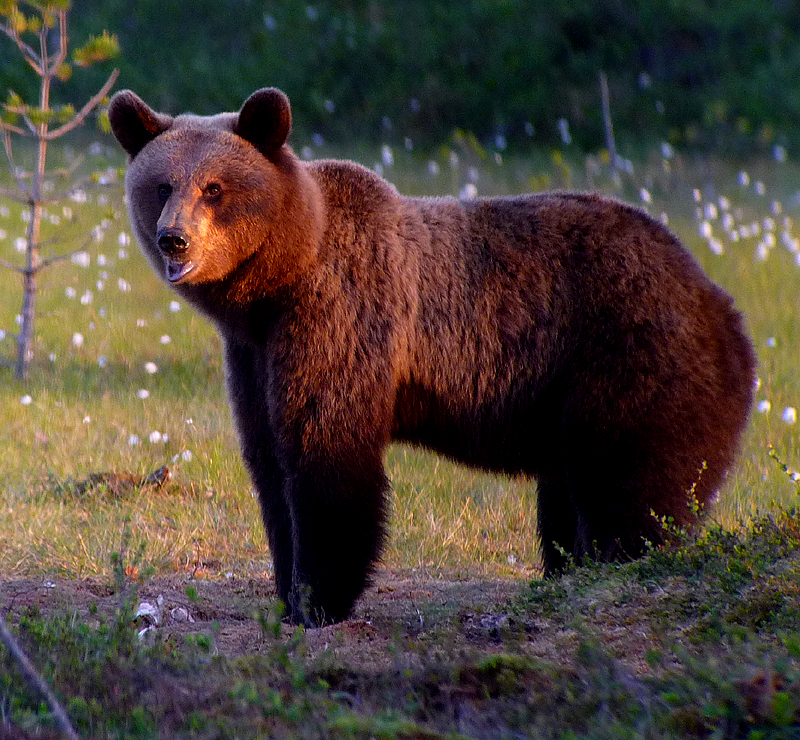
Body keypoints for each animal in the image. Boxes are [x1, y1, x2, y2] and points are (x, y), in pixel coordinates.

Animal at [109, 88, 760, 632]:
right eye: (162, 185)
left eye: (214, 188)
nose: (174, 239)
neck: (279, 282)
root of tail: (718, 299)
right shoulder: (253, 353)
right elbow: (269, 462)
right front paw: (289, 591)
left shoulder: (340, 317)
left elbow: (326, 457)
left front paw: (320, 600)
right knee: (570, 493)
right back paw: (565, 570)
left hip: (630, 357)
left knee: (631, 487)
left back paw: (613, 570)